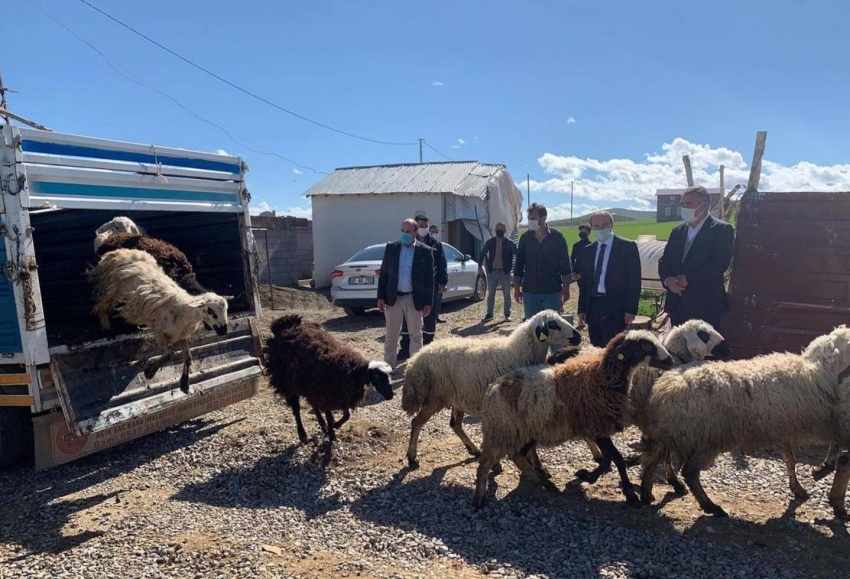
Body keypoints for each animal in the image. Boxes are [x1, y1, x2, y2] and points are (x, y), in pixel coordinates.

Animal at [85, 248, 229, 394]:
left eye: (226, 311)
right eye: (211, 311)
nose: (224, 330)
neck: (184, 311)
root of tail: (116, 252)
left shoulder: (181, 336)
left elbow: (188, 358)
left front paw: (184, 384)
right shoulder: (158, 331)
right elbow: (167, 354)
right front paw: (150, 372)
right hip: (111, 288)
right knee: (99, 306)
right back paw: (106, 328)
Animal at [264, 314, 394, 442]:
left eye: (389, 375)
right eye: (377, 376)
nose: (390, 396)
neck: (351, 371)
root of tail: (286, 326)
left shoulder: (341, 395)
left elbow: (346, 415)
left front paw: (335, 426)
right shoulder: (327, 395)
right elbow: (330, 417)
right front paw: (332, 435)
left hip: (310, 387)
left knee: (314, 405)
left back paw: (323, 426)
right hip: (287, 384)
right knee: (296, 410)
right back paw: (303, 434)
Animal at [400, 310, 580, 468]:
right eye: (552, 324)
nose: (578, 336)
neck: (517, 351)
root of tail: (415, 360)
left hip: (457, 397)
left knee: (455, 424)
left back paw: (474, 450)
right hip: (436, 396)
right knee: (417, 422)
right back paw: (412, 458)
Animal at [474, 328, 672, 510]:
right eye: (645, 346)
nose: (670, 361)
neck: (602, 378)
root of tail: (492, 390)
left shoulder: (595, 428)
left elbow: (608, 458)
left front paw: (588, 476)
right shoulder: (597, 426)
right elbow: (616, 457)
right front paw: (630, 495)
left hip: (526, 432)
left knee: (518, 456)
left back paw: (546, 483)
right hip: (502, 432)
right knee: (485, 464)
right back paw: (480, 499)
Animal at [636, 324, 848, 520]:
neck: (818, 369)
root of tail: (663, 390)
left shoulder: (780, 427)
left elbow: (790, 459)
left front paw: (799, 487)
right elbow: (833, 444)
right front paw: (823, 469)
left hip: (670, 432)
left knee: (652, 460)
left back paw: (647, 492)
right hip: (706, 436)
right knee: (689, 471)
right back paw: (710, 506)